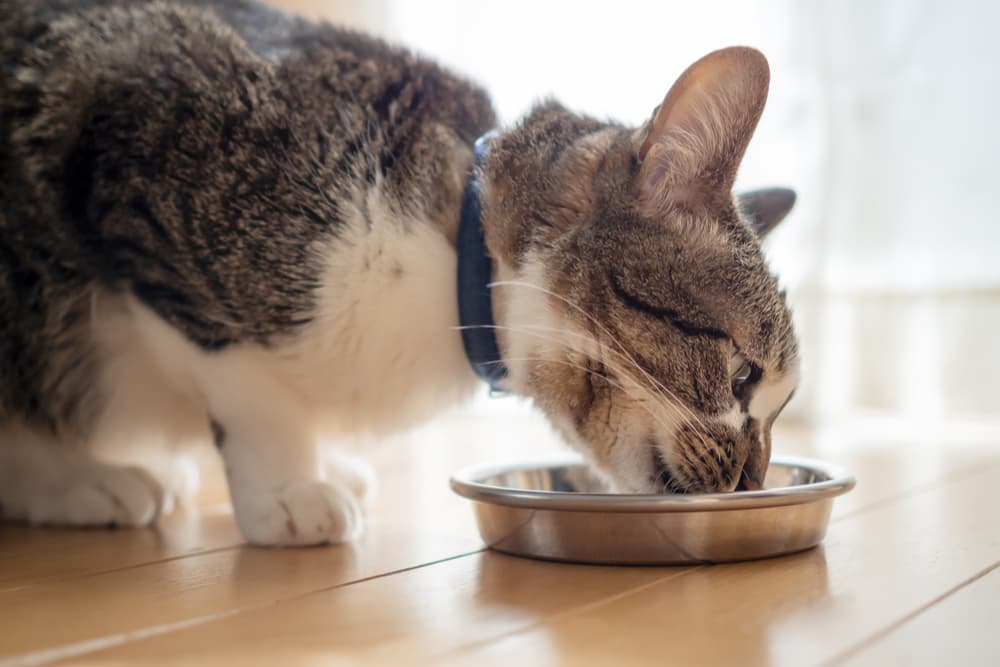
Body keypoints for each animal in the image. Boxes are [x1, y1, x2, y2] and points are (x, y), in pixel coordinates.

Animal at [0, 0, 796, 544]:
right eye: (743, 376)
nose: (755, 478)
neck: (452, 270)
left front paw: (323, 462)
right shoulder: (143, 163)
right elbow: (250, 389)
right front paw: (290, 487)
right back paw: (92, 477)